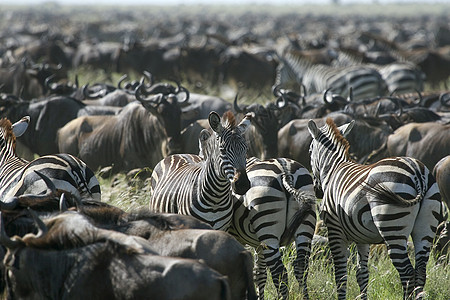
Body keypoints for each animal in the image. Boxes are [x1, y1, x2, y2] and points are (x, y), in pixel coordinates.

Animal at [308, 117, 444, 300]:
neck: (334, 170)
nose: (317, 191)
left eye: (310, 150)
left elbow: (341, 275)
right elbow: (362, 273)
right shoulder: (362, 237)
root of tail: (418, 173)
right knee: (421, 271)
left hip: (392, 226)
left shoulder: (335, 230)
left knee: (407, 272)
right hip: (426, 227)